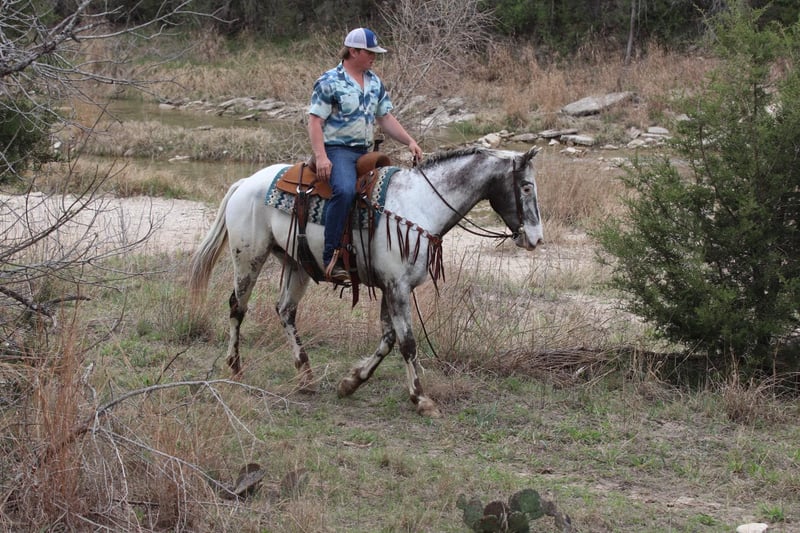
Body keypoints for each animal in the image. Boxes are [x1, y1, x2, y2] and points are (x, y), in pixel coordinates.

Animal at [188, 146, 543, 417]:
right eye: (526, 187)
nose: (536, 239)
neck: (419, 205)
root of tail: (246, 182)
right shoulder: (397, 286)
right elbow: (407, 342)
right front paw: (421, 398)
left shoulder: (391, 286)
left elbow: (388, 339)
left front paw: (352, 382)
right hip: (249, 258)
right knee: (237, 307)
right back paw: (236, 367)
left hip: (295, 263)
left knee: (285, 311)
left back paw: (306, 375)